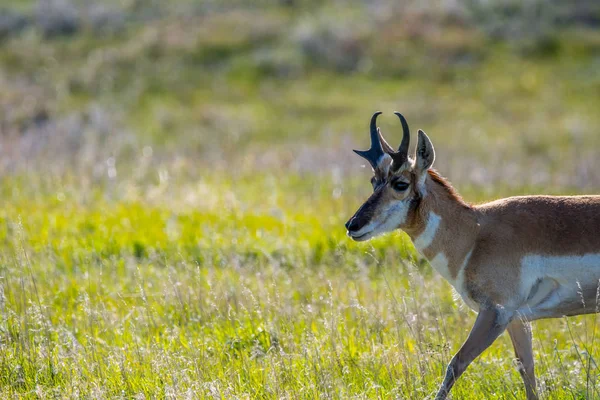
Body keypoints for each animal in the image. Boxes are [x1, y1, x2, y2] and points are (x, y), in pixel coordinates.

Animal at [344, 111, 600, 400]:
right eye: (373, 181)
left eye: (401, 183)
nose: (352, 225)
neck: (475, 231)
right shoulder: (517, 320)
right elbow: (528, 372)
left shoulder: (495, 313)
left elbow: (456, 363)